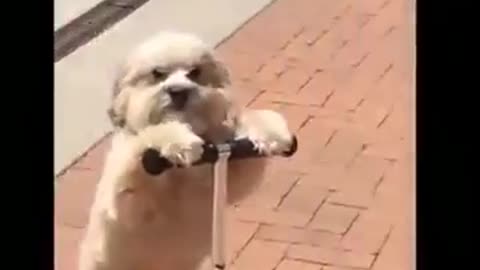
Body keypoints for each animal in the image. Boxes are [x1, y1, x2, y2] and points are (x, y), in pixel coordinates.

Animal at [79, 30, 296, 268]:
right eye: (157, 73)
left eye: (195, 72)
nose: (178, 91)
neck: (181, 175)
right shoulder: (127, 200)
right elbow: (147, 139)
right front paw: (178, 141)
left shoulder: (228, 172)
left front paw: (271, 129)